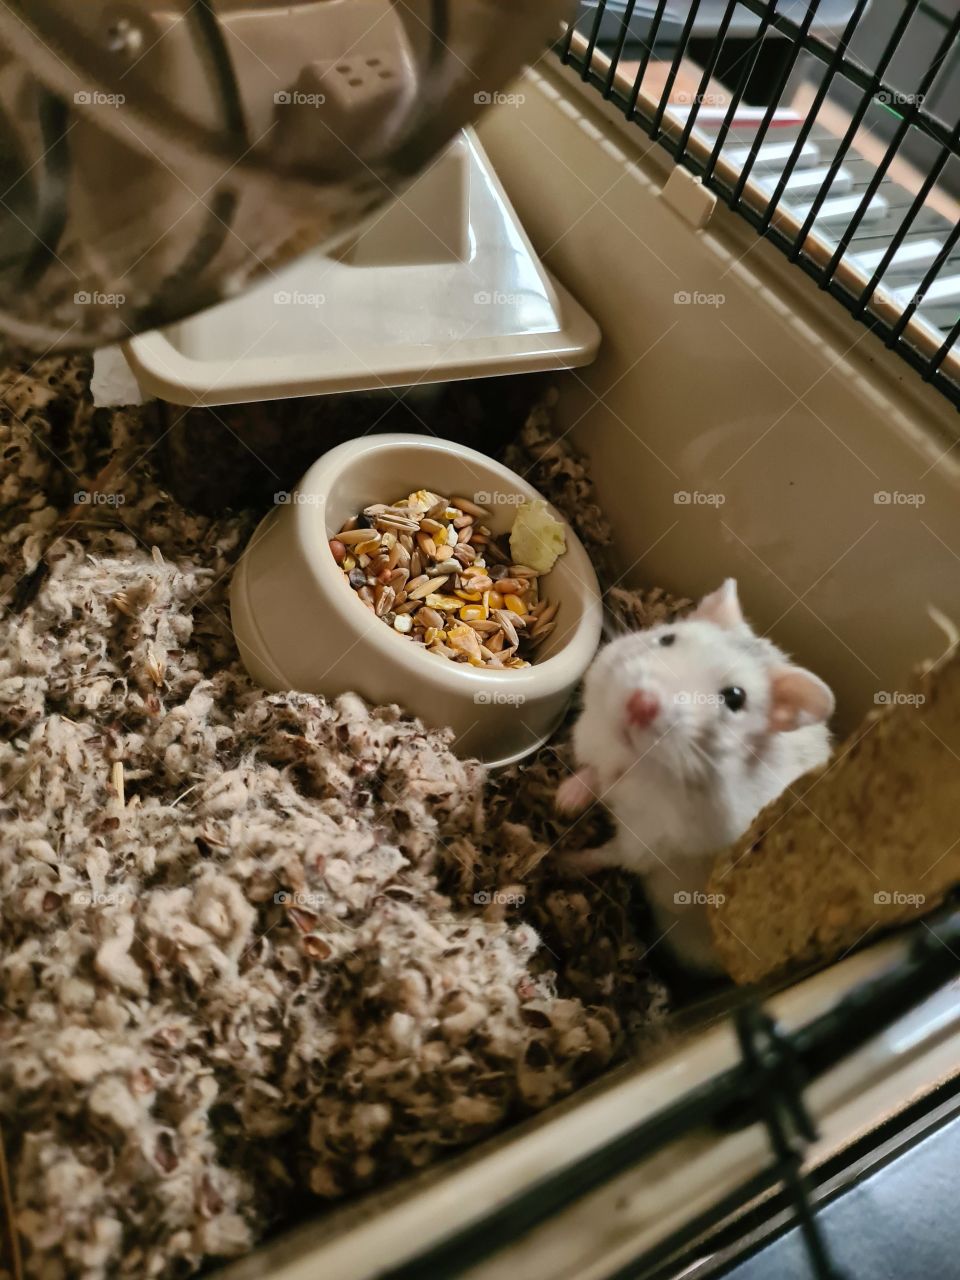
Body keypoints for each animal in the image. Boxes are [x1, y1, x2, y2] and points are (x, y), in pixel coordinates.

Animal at [555, 579, 834, 974]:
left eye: (735, 697)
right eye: (667, 638)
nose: (640, 703)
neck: (641, 759)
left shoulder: (649, 841)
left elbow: (609, 854)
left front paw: (562, 861)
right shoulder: (603, 755)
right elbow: (594, 775)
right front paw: (563, 801)